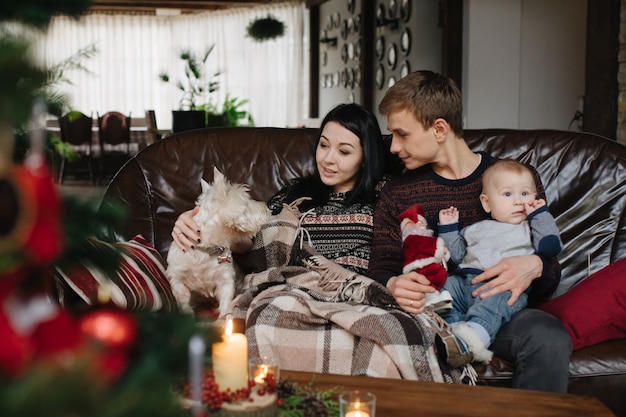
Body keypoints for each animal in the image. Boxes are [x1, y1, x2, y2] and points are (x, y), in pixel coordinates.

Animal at [165, 167, 270, 316]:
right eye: (247, 202)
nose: (268, 208)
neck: (207, 249)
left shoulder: (225, 280)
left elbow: (226, 304)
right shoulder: (178, 281)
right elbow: (184, 304)